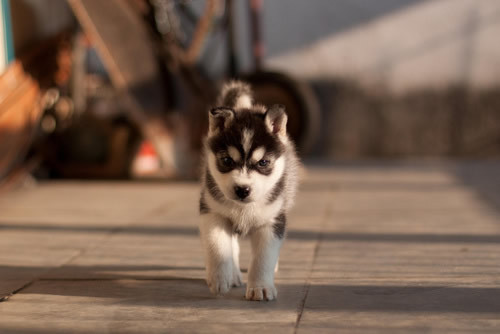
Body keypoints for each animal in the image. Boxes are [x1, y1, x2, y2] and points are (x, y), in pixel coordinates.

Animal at [198, 80, 296, 300]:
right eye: (227, 160)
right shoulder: (214, 213)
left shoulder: (272, 221)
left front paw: (261, 287)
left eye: (263, 162)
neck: (244, 208)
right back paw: (232, 274)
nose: (242, 189)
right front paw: (220, 278)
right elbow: (218, 247)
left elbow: (264, 257)